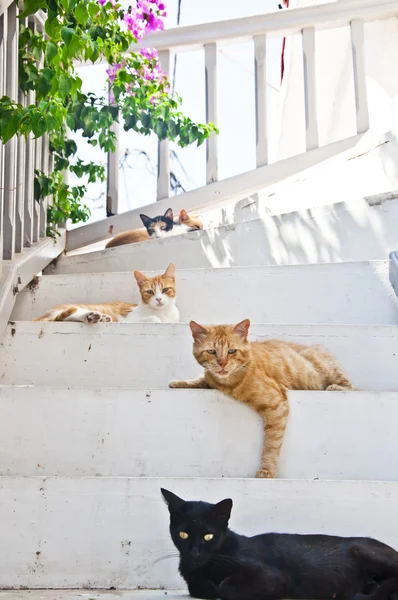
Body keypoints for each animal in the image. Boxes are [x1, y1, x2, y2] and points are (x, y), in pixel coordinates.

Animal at [32, 264, 179, 326]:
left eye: (165, 290)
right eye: (150, 292)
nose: (159, 299)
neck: (163, 313)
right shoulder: (129, 320)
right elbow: (153, 319)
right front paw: (156, 319)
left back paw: (98, 318)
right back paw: (92, 316)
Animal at [160, 488, 398, 600]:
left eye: (208, 537)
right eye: (183, 534)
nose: (194, 553)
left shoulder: (272, 575)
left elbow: (225, 587)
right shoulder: (193, 578)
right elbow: (198, 587)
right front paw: (207, 585)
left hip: (365, 551)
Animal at [169, 318, 356, 478]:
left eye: (231, 351)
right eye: (211, 351)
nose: (222, 363)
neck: (228, 382)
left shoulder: (276, 405)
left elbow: (271, 444)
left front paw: (266, 470)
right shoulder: (210, 378)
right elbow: (201, 379)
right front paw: (179, 382)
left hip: (327, 369)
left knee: (352, 386)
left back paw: (335, 387)